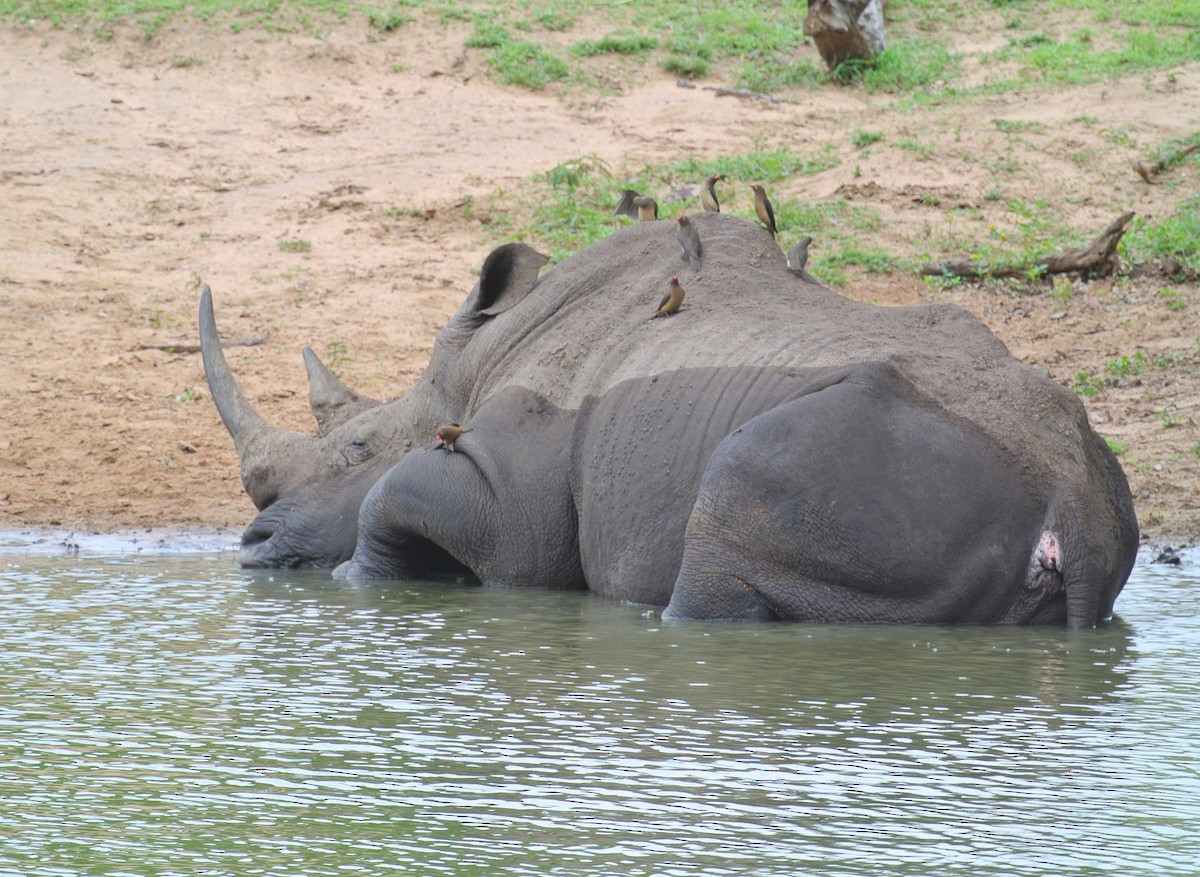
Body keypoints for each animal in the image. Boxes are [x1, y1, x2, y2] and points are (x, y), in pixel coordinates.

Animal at [200, 212, 1138, 626]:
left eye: (354, 443)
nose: (253, 546)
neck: (467, 372)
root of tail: (1071, 507)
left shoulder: (508, 500)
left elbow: (388, 499)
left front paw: (357, 579)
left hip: (871, 472)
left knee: (725, 519)